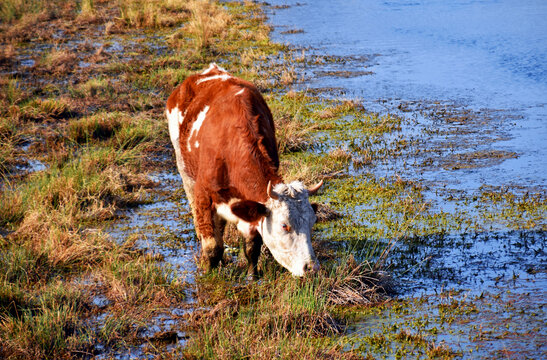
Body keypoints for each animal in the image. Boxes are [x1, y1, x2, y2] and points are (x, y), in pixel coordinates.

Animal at [166, 63, 322, 278]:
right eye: (284, 225)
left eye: (312, 222)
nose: (311, 268)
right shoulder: (203, 196)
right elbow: (212, 246)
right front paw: (208, 273)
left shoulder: (252, 207)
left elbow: (251, 245)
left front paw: (252, 275)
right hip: (183, 168)